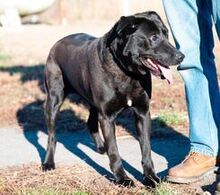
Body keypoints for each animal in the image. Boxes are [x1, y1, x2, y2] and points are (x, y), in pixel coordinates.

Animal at [42, 11, 184, 187]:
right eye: (153, 37)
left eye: (166, 34)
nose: (181, 56)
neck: (128, 73)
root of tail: (58, 43)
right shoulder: (107, 117)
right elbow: (115, 152)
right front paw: (122, 179)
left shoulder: (143, 112)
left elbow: (146, 149)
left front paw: (150, 178)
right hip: (54, 99)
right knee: (52, 136)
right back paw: (48, 163)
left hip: (92, 102)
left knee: (90, 122)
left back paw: (101, 147)